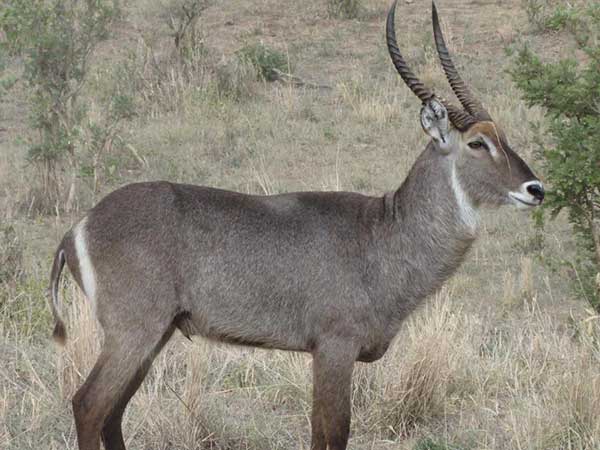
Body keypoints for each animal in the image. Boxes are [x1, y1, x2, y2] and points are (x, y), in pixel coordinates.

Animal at [47, 1, 544, 448]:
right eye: (477, 142)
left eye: (504, 136)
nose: (536, 188)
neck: (384, 234)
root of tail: (77, 228)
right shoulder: (334, 349)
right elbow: (332, 433)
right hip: (134, 332)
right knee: (88, 405)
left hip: (154, 336)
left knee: (111, 415)